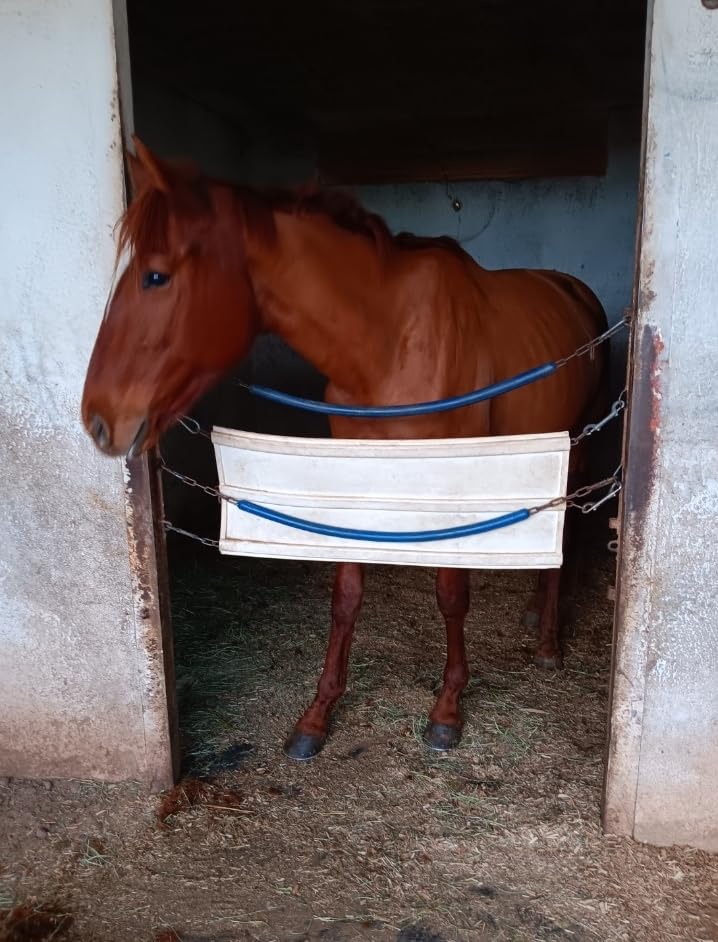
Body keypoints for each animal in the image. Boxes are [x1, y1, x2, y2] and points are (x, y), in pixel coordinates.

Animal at [82, 138, 608, 760]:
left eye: (156, 276)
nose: (98, 419)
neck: (387, 341)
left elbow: (451, 593)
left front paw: (447, 708)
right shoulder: (351, 470)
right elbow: (347, 594)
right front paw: (317, 714)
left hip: (576, 445)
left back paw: (549, 639)